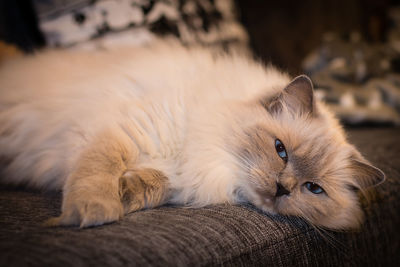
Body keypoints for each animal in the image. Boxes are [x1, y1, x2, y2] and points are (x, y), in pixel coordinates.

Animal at [0, 40, 384, 229]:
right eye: (281, 150)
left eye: (313, 189)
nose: (281, 189)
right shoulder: (128, 129)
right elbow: (99, 168)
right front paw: (95, 212)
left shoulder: (181, 178)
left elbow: (154, 185)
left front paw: (126, 194)